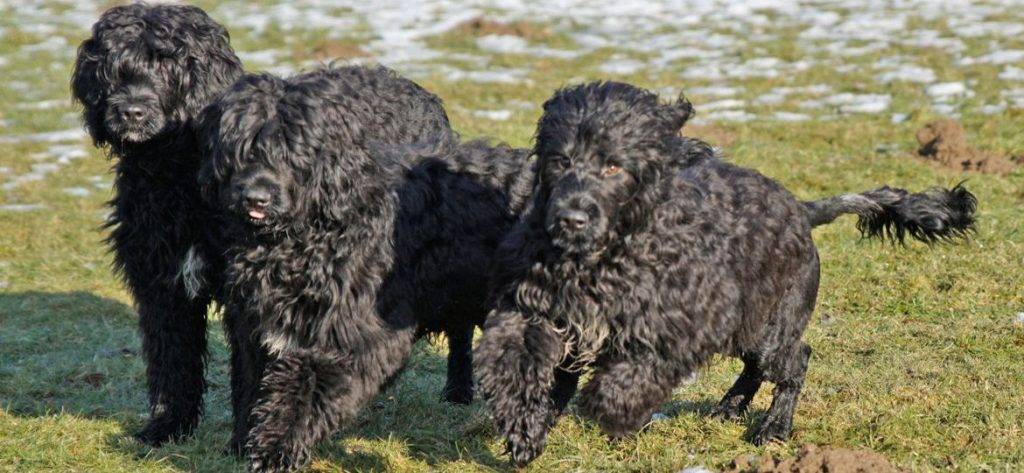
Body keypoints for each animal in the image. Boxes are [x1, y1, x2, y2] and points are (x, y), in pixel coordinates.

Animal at [71, 3, 242, 446]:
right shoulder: (161, 280)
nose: (130, 111)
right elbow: (171, 359)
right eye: (114, 69)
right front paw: (167, 426)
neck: (175, 171)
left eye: (169, 65)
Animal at [196, 65, 532, 468]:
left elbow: (305, 389)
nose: (256, 197)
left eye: (292, 154)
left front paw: (276, 449)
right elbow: (250, 382)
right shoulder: (254, 325)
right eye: (242, 150)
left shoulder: (353, 334)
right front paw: (242, 442)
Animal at [475, 80, 978, 464]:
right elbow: (515, 363)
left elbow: (635, 371)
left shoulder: (691, 317)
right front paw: (524, 428)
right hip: (748, 327)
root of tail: (801, 209)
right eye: (560, 160)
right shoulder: (534, 309)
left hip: (773, 323)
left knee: (794, 361)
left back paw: (774, 427)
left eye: (613, 164)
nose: (570, 218)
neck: (605, 254)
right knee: (755, 369)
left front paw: (613, 409)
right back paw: (730, 406)